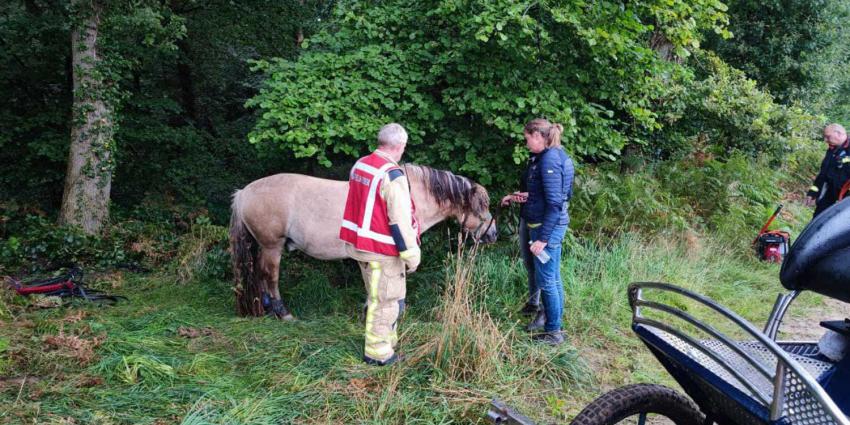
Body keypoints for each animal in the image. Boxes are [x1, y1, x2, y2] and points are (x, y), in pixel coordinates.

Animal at [225, 164, 496, 320]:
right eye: (481, 207)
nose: (493, 234)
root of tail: (243, 193)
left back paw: (266, 306)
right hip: (273, 246)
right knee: (269, 276)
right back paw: (282, 311)